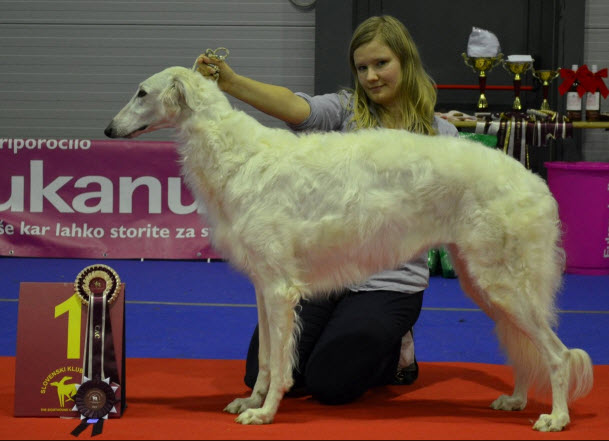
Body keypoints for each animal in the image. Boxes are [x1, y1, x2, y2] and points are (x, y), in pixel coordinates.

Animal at [103, 65, 588, 430]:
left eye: (142, 92)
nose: (108, 128)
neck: (239, 157)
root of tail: (537, 184)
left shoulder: (280, 290)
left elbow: (280, 363)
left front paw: (265, 412)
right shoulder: (263, 286)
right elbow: (264, 359)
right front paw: (250, 401)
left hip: (503, 282)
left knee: (558, 355)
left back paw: (556, 417)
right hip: (485, 283)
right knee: (525, 349)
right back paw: (517, 398)